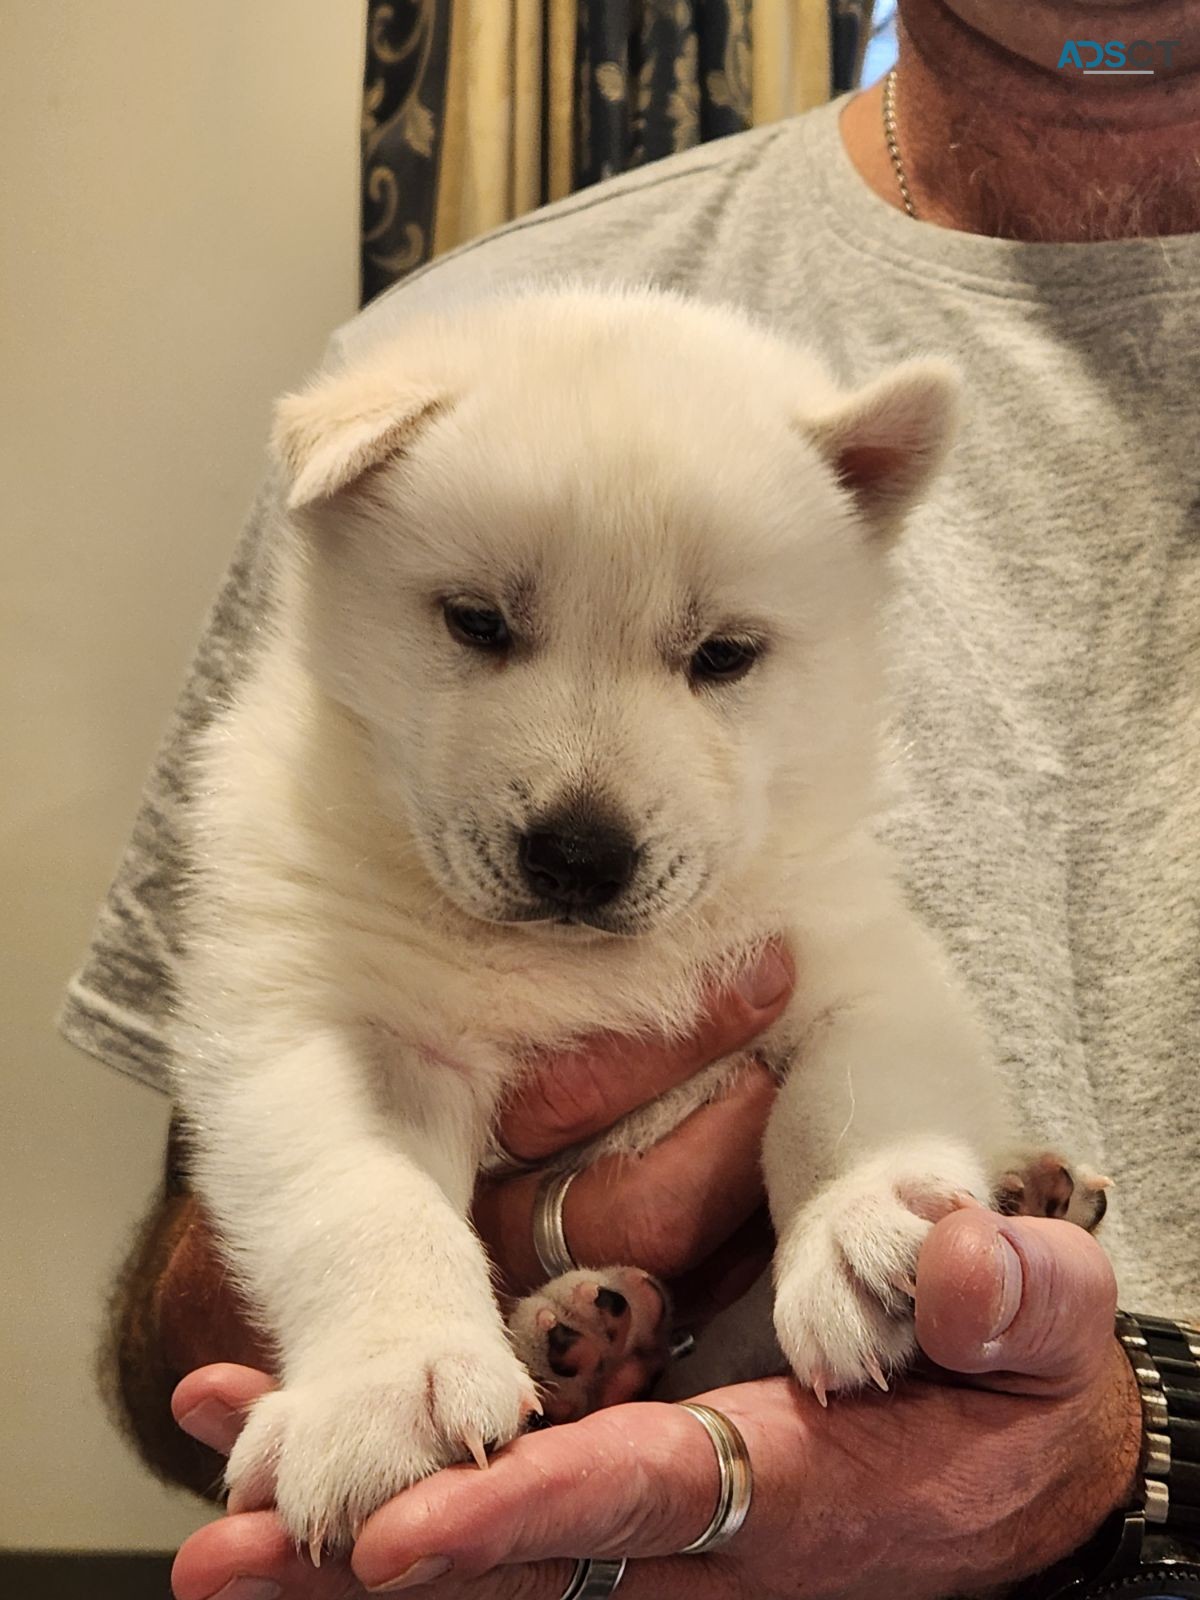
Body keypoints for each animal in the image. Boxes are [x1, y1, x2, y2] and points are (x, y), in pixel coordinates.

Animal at [173, 284, 1107, 1548]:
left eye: (725, 654)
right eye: (476, 622)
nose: (580, 853)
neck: (579, 963)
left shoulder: (853, 959)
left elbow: (840, 1104)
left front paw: (863, 1230)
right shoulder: (335, 1025)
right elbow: (365, 1196)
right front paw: (386, 1387)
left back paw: (1025, 1188)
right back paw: (575, 1337)